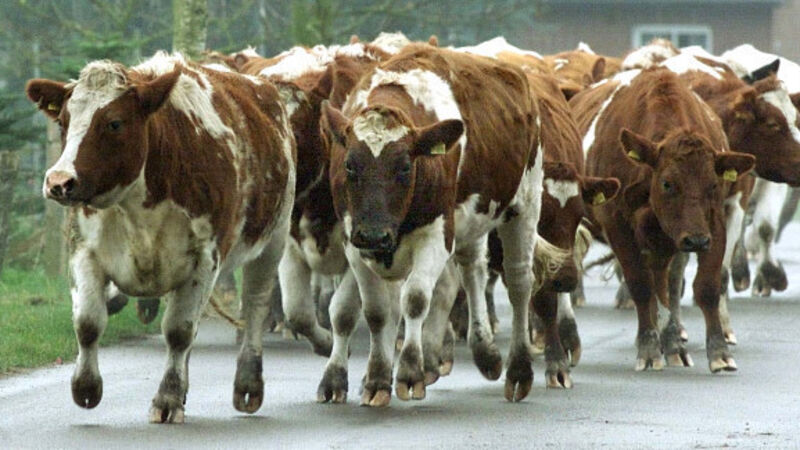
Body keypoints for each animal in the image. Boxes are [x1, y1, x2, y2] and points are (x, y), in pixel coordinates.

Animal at [25, 52, 296, 422]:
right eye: (64, 121)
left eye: (114, 123)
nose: (59, 181)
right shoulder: (84, 252)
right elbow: (88, 323)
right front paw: (86, 387)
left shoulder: (205, 259)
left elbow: (179, 331)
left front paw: (167, 399)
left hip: (273, 241)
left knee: (255, 306)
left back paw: (248, 384)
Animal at [317, 43, 570, 405]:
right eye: (350, 166)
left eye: (404, 167)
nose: (375, 235)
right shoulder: (355, 239)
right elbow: (376, 310)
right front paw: (375, 379)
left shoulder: (437, 234)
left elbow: (415, 298)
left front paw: (409, 371)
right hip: (471, 220)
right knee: (473, 271)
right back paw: (484, 351)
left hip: (524, 204)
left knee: (520, 282)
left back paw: (519, 370)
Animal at [572, 67, 754, 372]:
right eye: (668, 183)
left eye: (713, 184)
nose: (696, 240)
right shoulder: (616, 225)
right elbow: (640, 285)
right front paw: (648, 349)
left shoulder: (714, 222)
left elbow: (706, 286)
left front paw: (718, 352)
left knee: (669, 283)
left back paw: (671, 342)